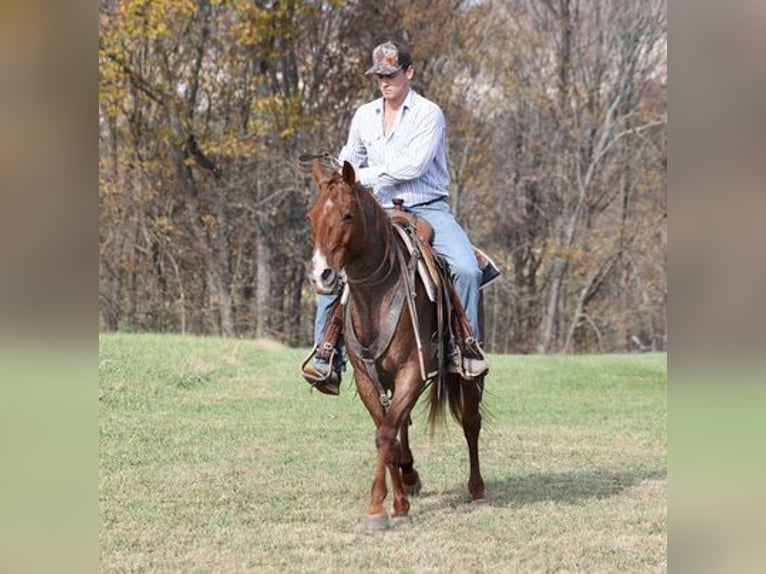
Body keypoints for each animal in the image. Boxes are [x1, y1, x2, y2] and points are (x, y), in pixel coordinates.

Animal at [306, 160, 486, 532]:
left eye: (347, 214)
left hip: (467, 375)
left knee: (471, 422)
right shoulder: (367, 378)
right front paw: (400, 500)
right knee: (403, 422)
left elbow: (386, 434)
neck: (375, 296)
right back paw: (409, 475)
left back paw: (476, 488)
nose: (322, 276)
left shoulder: (411, 371)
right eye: (311, 216)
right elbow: (385, 431)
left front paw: (376, 508)